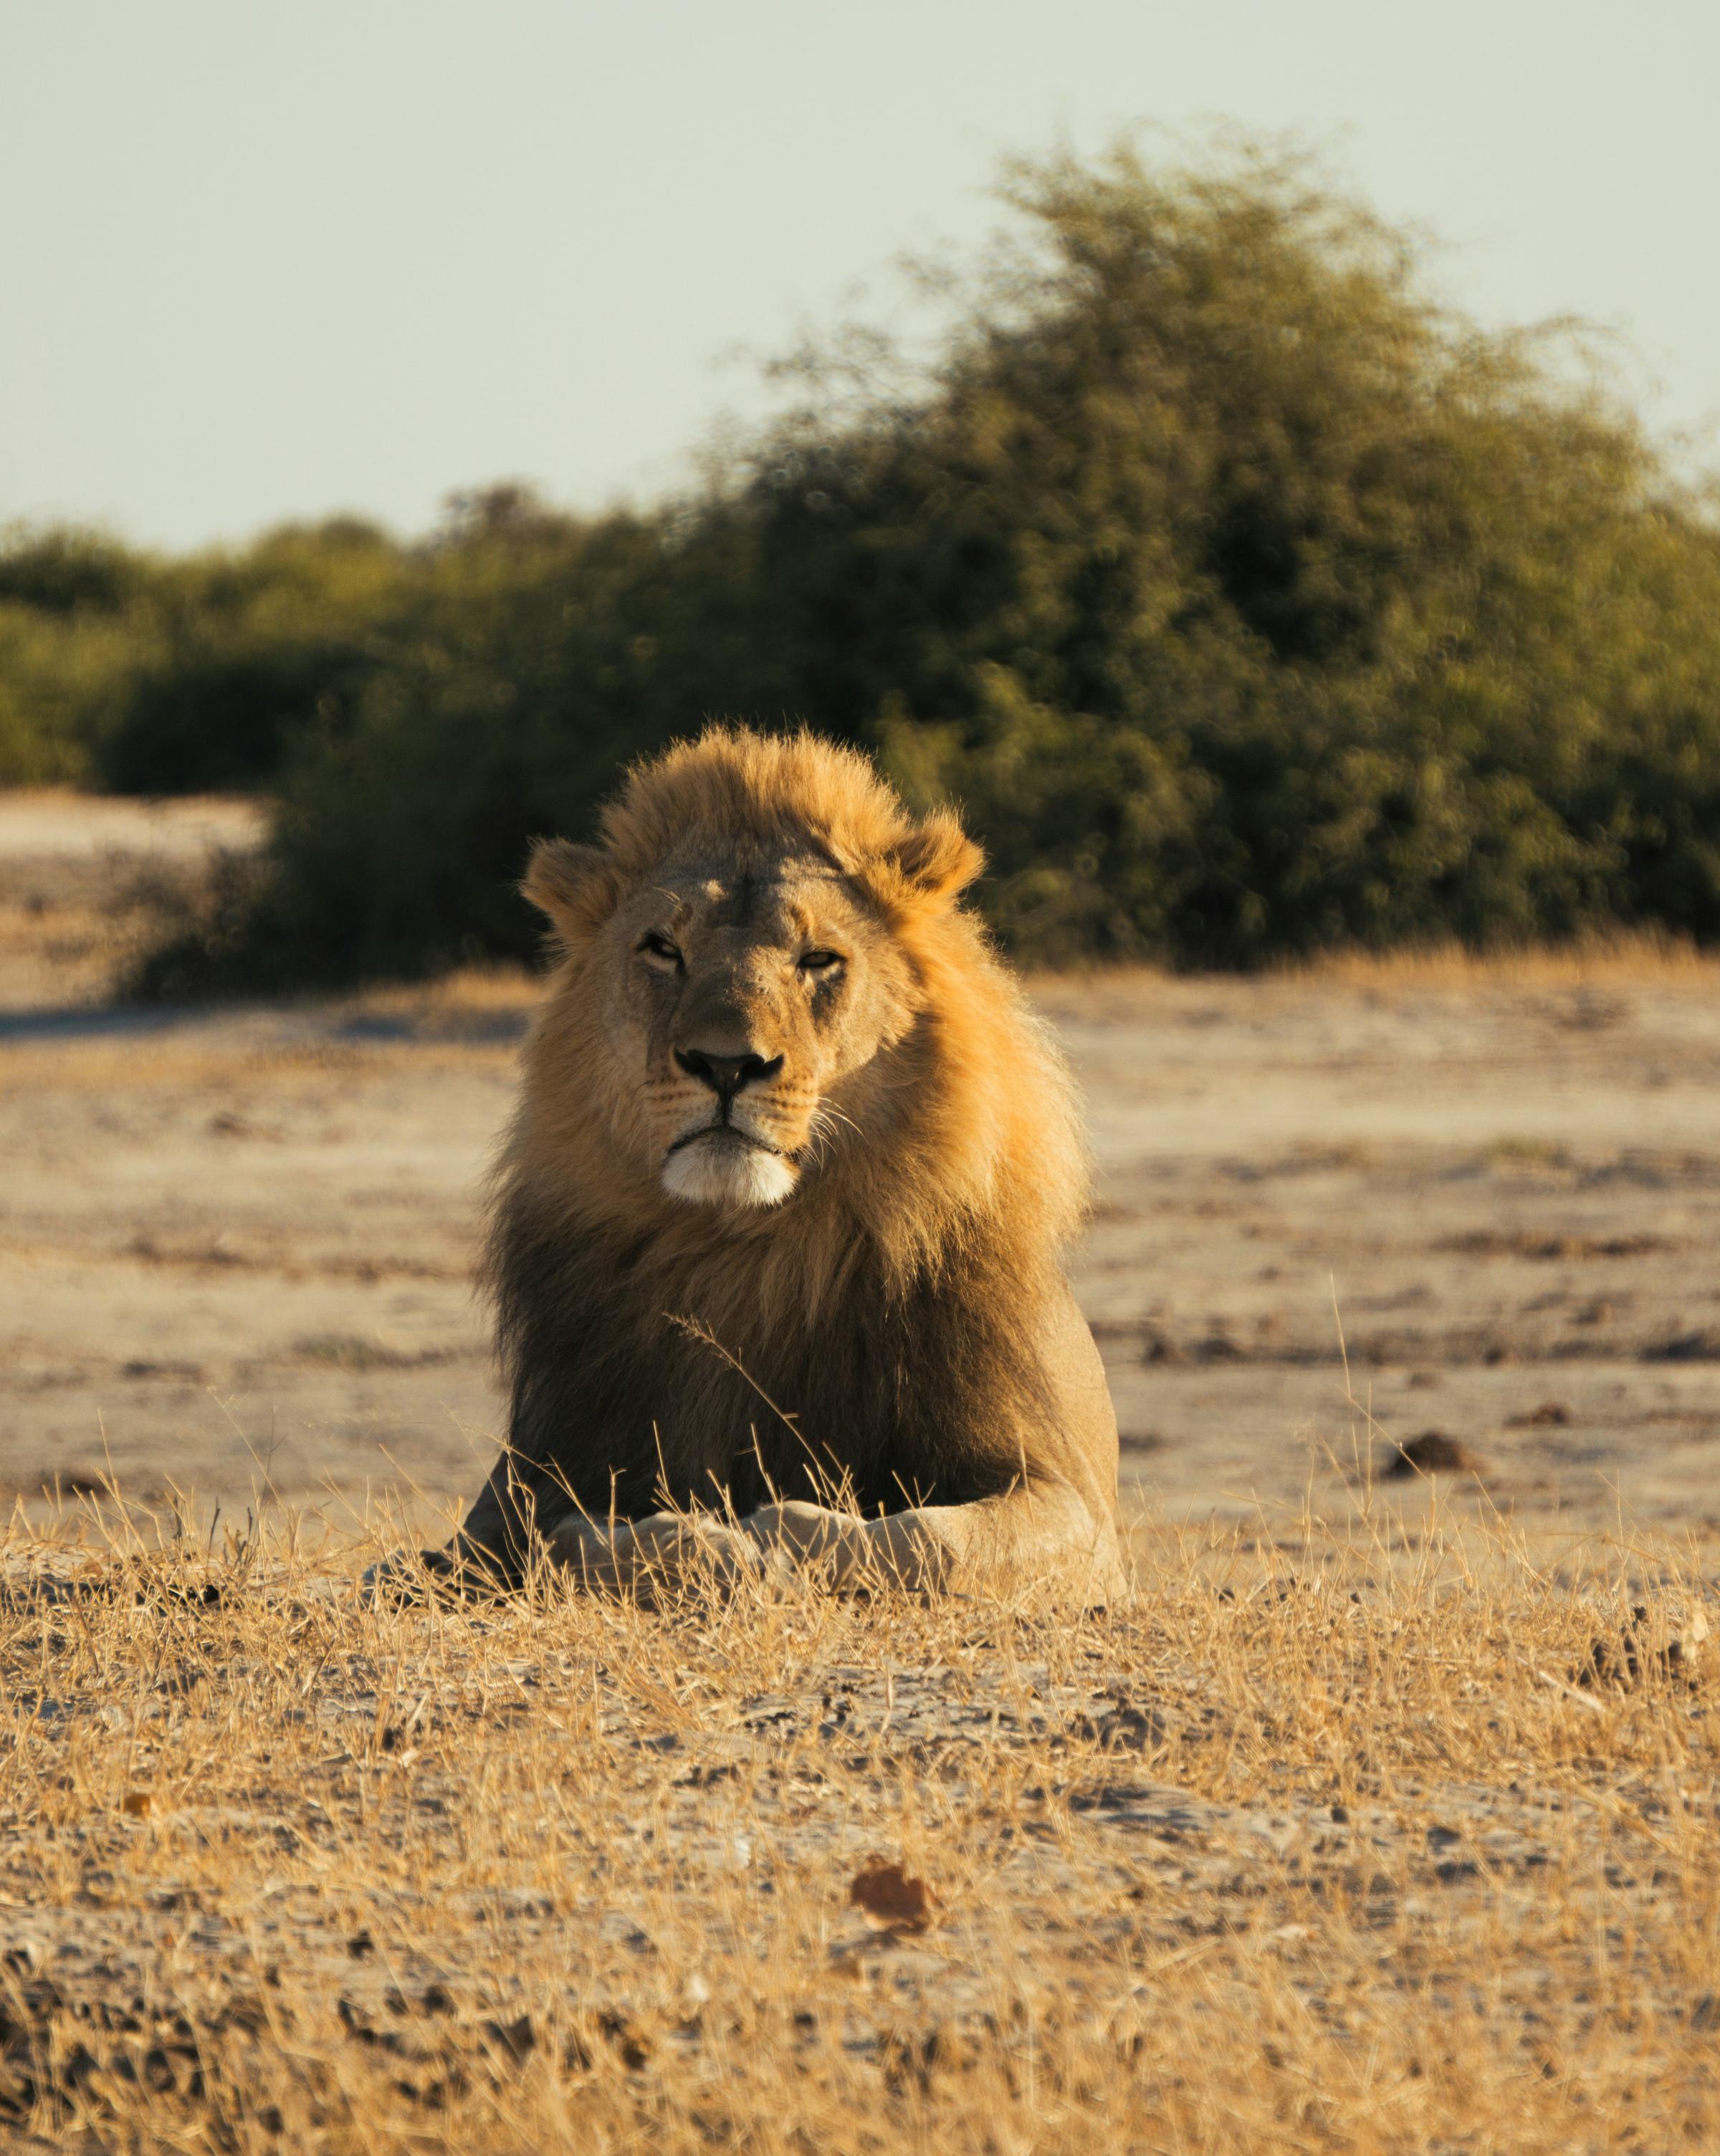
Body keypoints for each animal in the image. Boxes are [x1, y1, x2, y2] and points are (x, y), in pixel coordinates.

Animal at [408, 725, 1124, 1604]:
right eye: (664, 949)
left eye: (818, 959)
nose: (726, 1063)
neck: (749, 1250)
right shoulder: (522, 1484)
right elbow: (530, 1544)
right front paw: (688, 1546)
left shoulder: (1074, 1507)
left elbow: (929, 1539)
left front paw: (769, 1539)